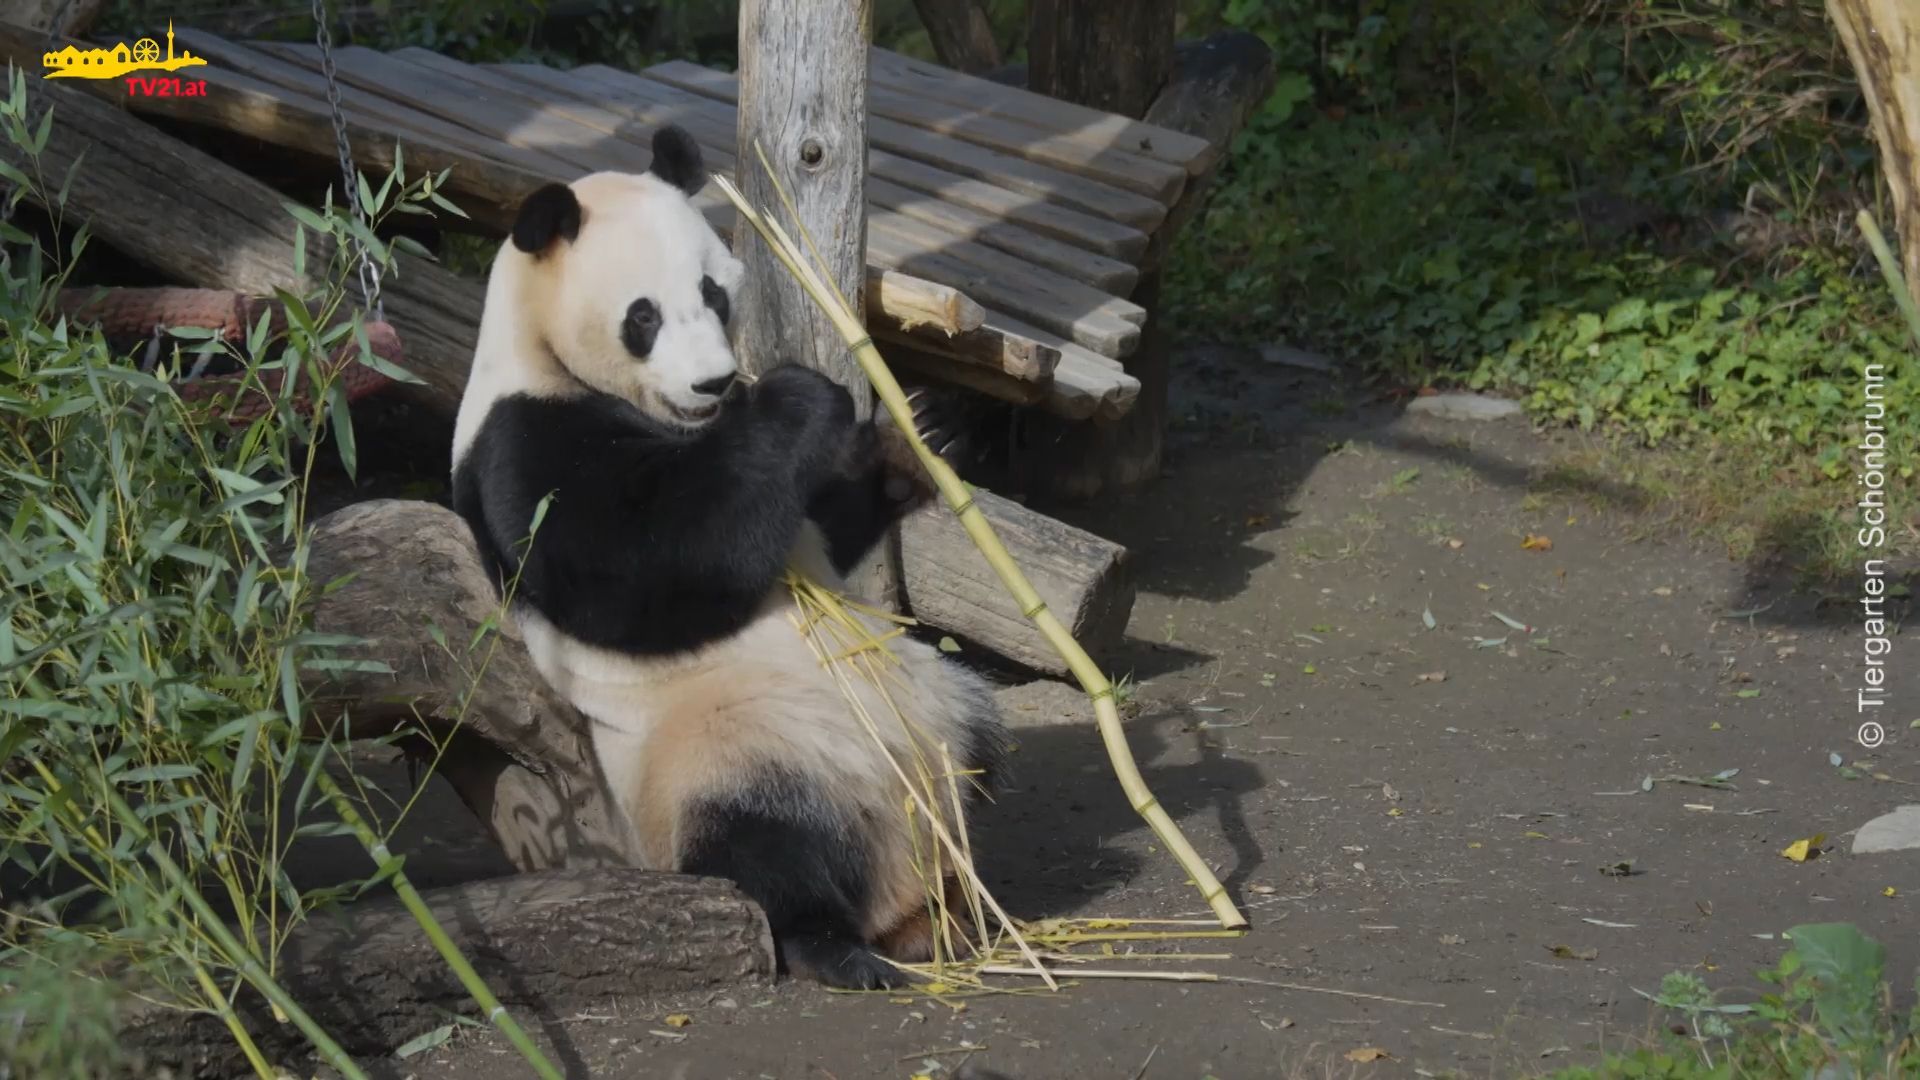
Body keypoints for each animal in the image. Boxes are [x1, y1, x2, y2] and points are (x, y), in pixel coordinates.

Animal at [449, 124, 1010, 991]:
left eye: (714, 293)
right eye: (642, 316)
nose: (714, 383)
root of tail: (896, 898)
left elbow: (819, 520)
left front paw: (930, 425)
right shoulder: (521, 439)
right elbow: (643, 566)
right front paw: (800, 397)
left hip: (936, 702)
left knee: (978, 743)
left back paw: (965, 901)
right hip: (721, 752)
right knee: (764, 844)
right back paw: (834, 945)